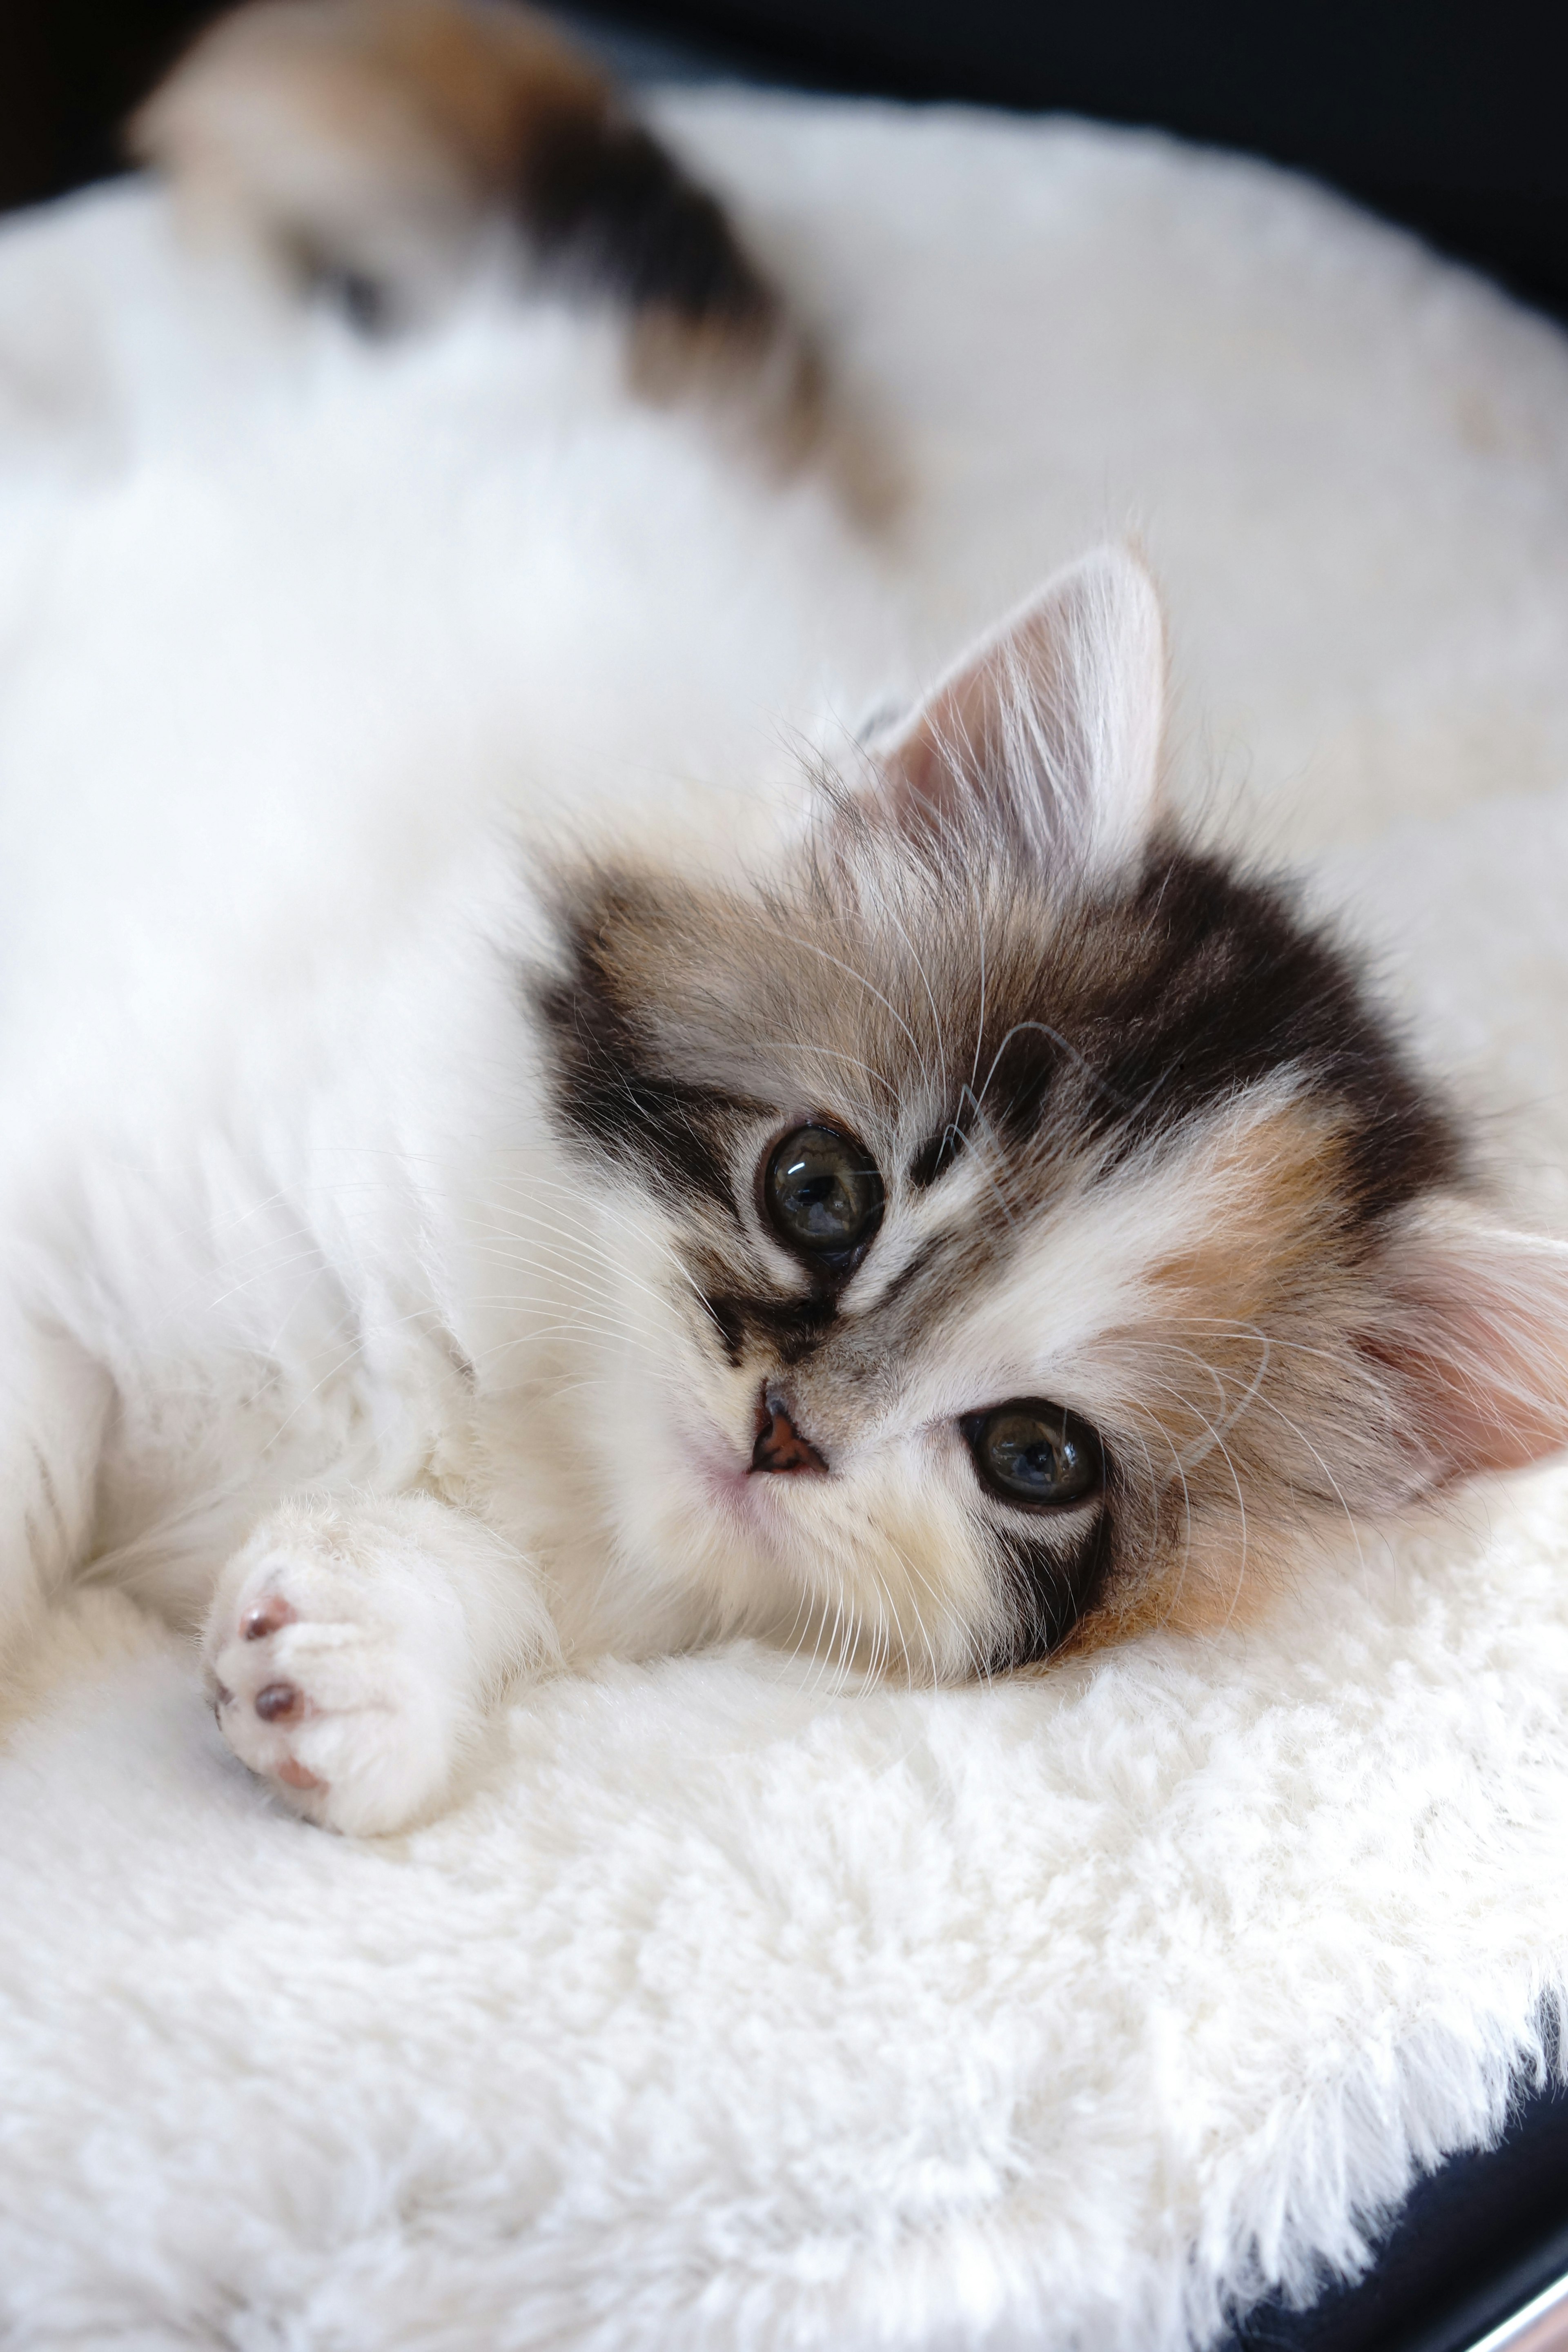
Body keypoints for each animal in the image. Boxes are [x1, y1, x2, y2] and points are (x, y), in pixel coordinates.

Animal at [3, 0, 1568, 1834]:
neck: (518, 1387)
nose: (787, 1435)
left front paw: (368, 1646)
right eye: (820, 1191)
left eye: (1036, 1457)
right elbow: (35, 1429)